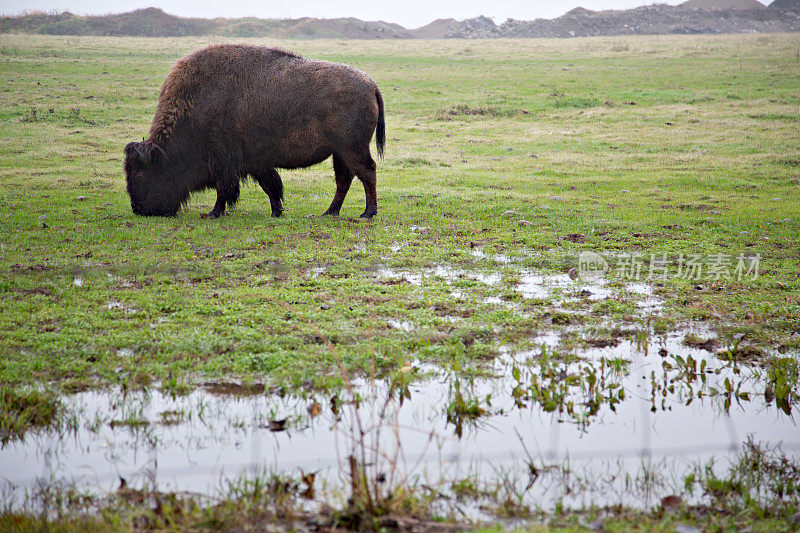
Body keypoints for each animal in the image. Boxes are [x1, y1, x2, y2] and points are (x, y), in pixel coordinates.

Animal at [124, 44, 384, 218]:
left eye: (140, 175)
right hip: (340, 152)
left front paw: (213, 213)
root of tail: (371, 84)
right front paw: (277, 211)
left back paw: (367, 213)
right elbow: (270, 186)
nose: (138, 209)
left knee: (366, 172)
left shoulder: (225, 163)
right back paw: (329, 212)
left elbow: (225, 190)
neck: (195, 106)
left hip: (352, 148)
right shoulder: (253, 163)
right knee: (345, 179)